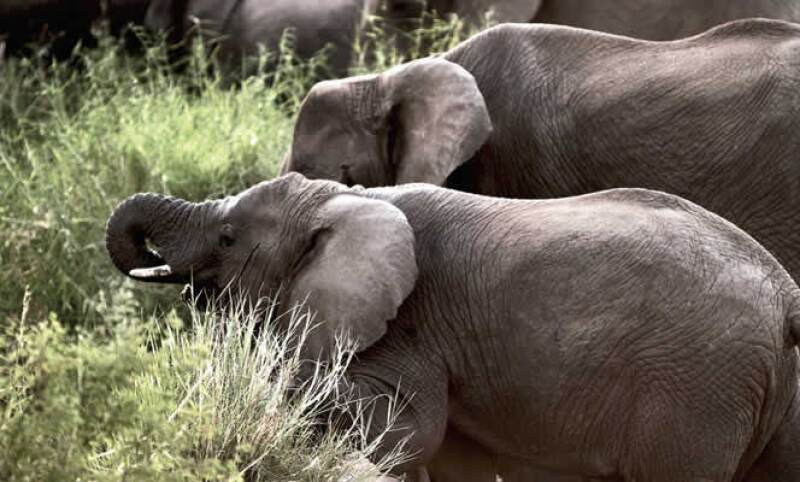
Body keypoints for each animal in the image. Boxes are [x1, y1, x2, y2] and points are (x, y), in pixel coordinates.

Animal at [104, 173, 800, 482]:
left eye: (227, 237)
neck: (348, 198)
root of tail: (786, 291)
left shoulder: (409, 328)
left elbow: (409, 430)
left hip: (694, 386)